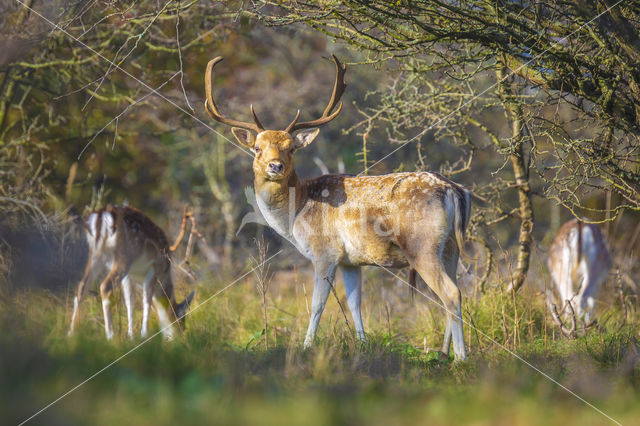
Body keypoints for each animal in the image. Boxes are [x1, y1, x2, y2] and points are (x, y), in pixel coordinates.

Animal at [67, 205, 195, 342]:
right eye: (181, 318)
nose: (181, 336)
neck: (164, 275)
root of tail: (102, 216)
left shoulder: (129, 276)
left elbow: (130, 302)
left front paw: (131, 336)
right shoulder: (154, 269)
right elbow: (146, 301)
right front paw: (144, 335)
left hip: (95, 253)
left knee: (82, 286)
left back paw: (71, 333)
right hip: (125, 255)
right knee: (105, 286)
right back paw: (110, 335)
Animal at [204, 54, 470, 360]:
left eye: (291, 148)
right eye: (257, 148)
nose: (275, 166)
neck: (297, 212)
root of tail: (453, 190)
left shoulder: (325, 252)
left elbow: (318, 305)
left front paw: (307, 346)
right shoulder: (350, 261)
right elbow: (355, 303)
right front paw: (363, 345)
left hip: (422, 245)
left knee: (451, 293)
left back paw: (461, 357)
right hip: (450, 247)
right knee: (455, 289)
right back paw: (443, 354)